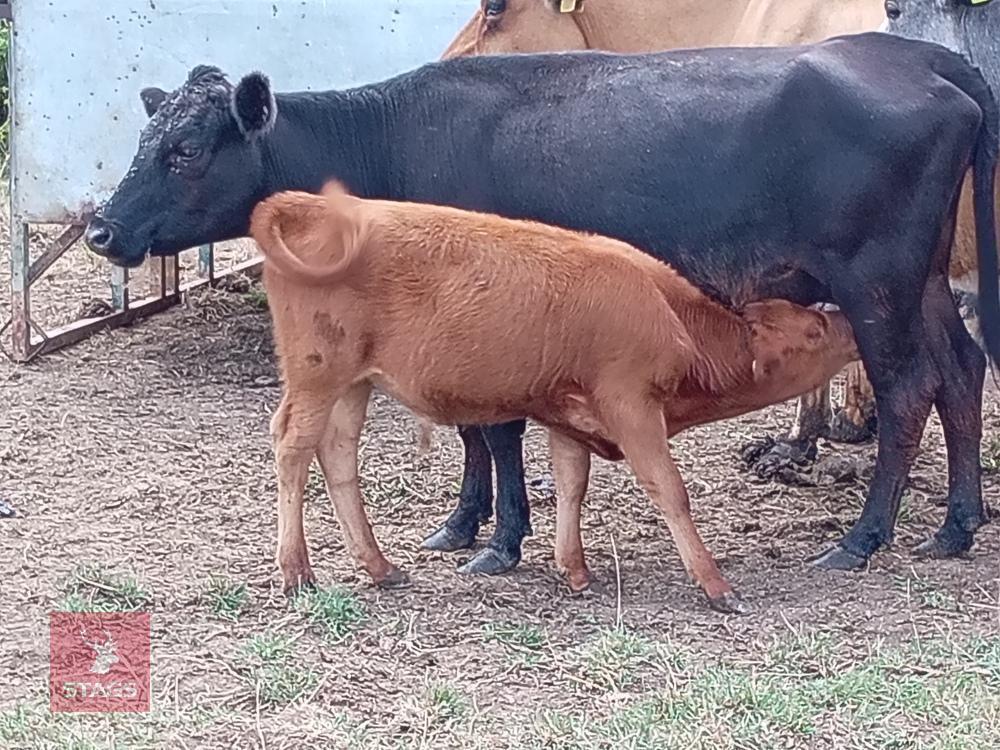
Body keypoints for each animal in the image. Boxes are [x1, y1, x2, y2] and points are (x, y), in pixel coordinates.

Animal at [249, 182, 861, 612]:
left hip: (353, 384)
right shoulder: (632, 408)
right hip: (317, 375)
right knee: (293, 448)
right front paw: (715, 584)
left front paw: (575, 569)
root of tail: (306, 204)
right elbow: (670, 490)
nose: (848, 321)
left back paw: (379, 566)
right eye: (812, 333)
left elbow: (572, 484)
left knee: (337, 454)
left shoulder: (569, 416)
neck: (667, 314)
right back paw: (296, 572)